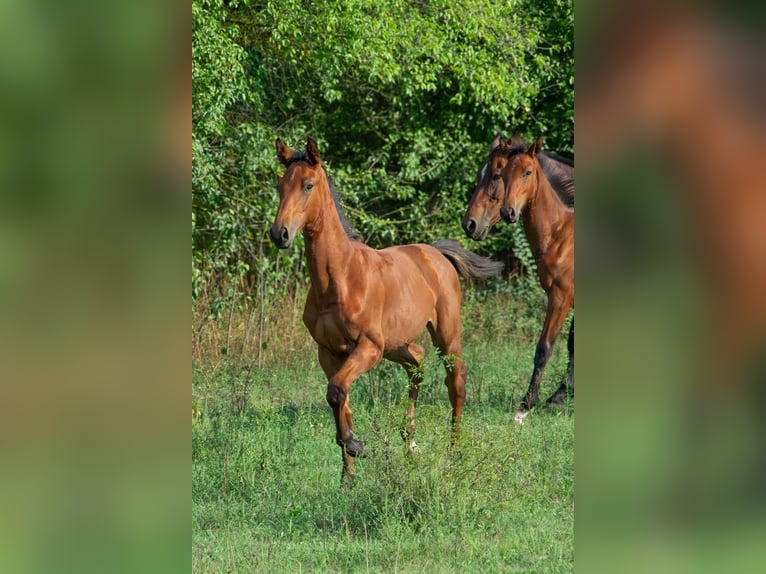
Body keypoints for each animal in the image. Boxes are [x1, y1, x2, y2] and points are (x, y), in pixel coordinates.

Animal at [270, 138, 504, 486]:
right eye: (280, 185)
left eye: (308, 185)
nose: (280, 233)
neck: (341, 279)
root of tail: (436, 253)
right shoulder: (328, 352)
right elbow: (340, 399)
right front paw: (348, 477)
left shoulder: (368, 347)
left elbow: (337, 391)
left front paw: (356, 445)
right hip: (397, 345)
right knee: (418, 362)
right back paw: (409, 439)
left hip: (444, 333)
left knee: (456, 382)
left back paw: (454, 451)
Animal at [462, 135, 576, 424]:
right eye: (503, 175)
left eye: (494, 174)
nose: (469, 224)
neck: (561, 233)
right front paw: (561, 395)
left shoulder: (561, 297)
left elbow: (544, 349)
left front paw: (526, 406)